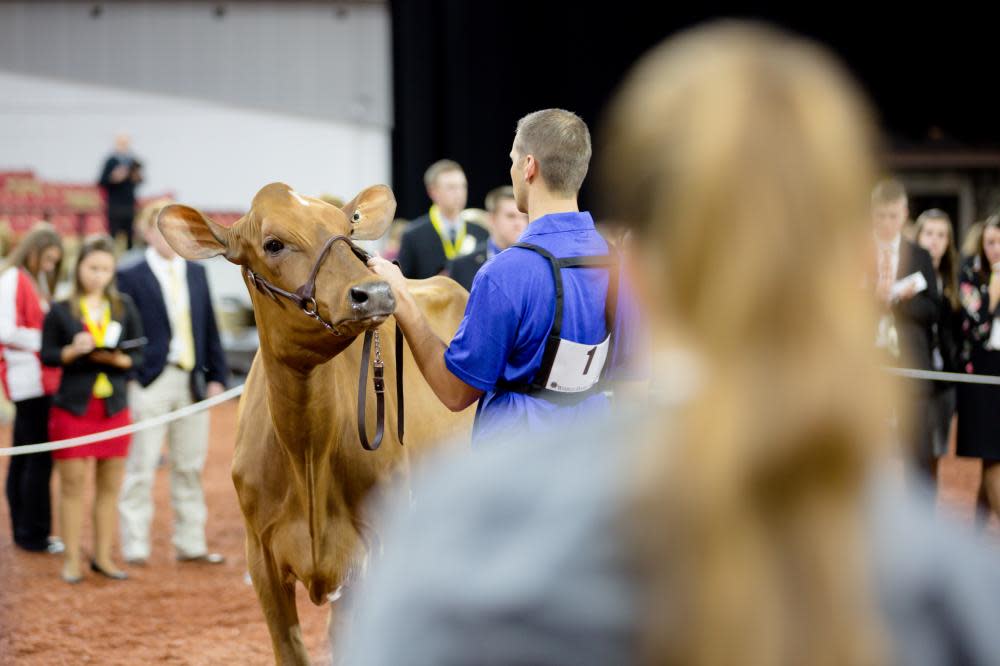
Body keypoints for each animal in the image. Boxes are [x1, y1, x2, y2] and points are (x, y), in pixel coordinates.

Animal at [157, 183, 476, 664]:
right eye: (273, 243)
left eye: (348, 228)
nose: (376, 293)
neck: (306, 451)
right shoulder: (262, 560)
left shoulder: (371, 554)